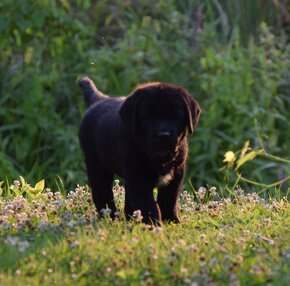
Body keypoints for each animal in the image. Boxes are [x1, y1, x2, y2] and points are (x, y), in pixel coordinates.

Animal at [78, 77, 201, 225]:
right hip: (96, 165)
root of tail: (98, 99)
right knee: (102, 193)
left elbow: (168, 200)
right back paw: (111, 218)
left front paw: (172, 221)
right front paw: (154, 225)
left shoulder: (177, 172)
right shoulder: (138, 178)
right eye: (147, 116)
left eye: (175, 116)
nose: (163, 136)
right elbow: (148, 205)